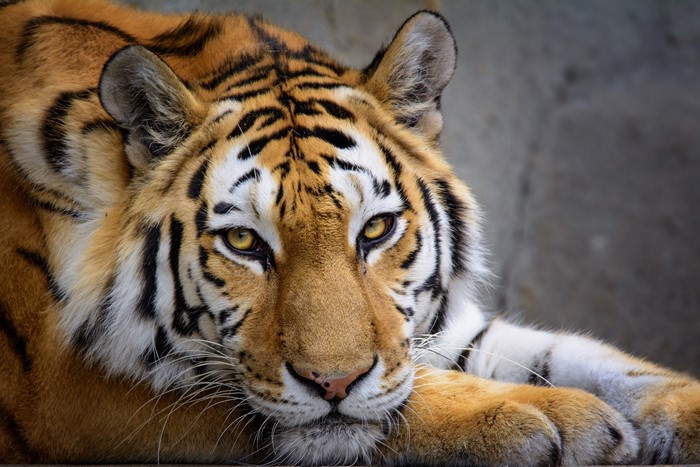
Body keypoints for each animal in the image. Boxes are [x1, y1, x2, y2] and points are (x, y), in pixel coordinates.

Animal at [0, 0, 698, 464]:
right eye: (244, 242)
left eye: (377, 230)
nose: (333, 385)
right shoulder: (66, 388)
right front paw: (556, 419)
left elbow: (589, 359)